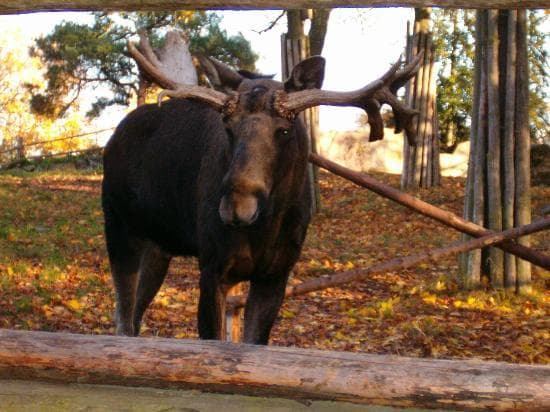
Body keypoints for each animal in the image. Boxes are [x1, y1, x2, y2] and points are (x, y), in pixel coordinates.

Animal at [102, 41, 422, 344]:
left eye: (284, 129)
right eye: (227, 126)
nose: (236, 207)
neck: (265, 231)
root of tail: (115, 134)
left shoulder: (275, 275)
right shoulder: (212, 268)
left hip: (159, 246)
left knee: (135, 316)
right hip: (118, 228)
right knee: (123, 321)